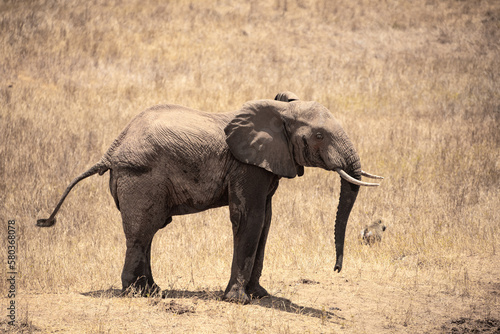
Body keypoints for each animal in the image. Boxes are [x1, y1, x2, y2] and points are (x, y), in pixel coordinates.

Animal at [37, 90, 382, 302]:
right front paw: (239, 301)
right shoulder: (246, 165)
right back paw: (136, 294)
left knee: (148, 231)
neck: (280, 111)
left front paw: (261, 295)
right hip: (140, 177)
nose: (336, 269)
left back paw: (155, 292)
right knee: (141, 232)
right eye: (320, 136)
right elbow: (249, 218)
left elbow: (266, 221)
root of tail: (111, 150)